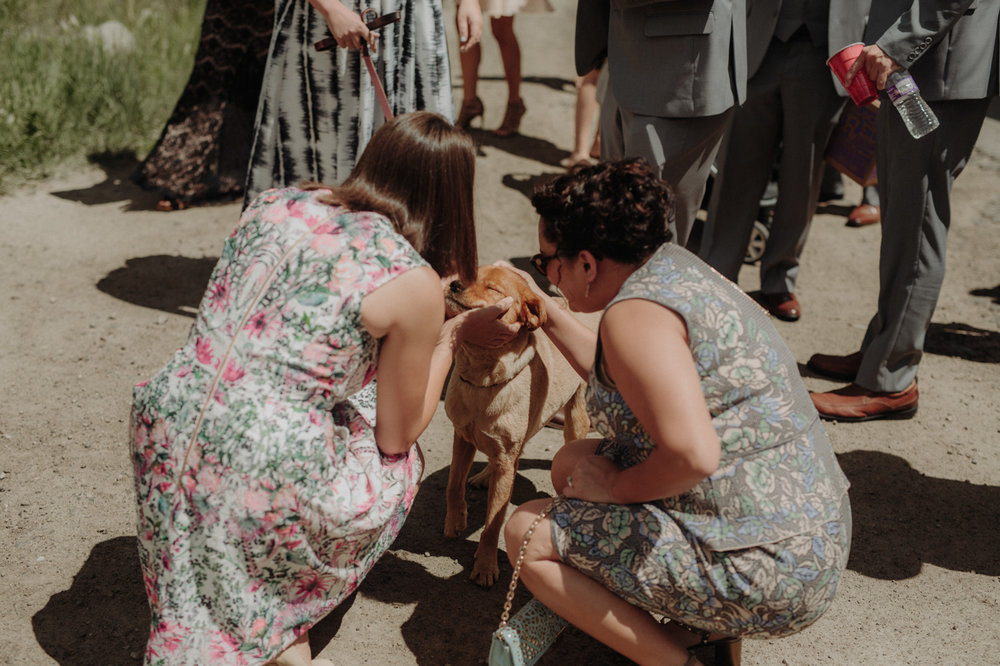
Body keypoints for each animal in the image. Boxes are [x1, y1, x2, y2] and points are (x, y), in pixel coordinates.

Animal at [442, 262, 588, 584]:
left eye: (493, 288)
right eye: (471, 274)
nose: (454, 284)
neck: (481, 381)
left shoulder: (503, 454)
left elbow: (493, 523)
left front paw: (485, 566)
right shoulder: (462, 437)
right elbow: (453, 485)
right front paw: (455, 520)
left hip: (575, 420)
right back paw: (486, 475)